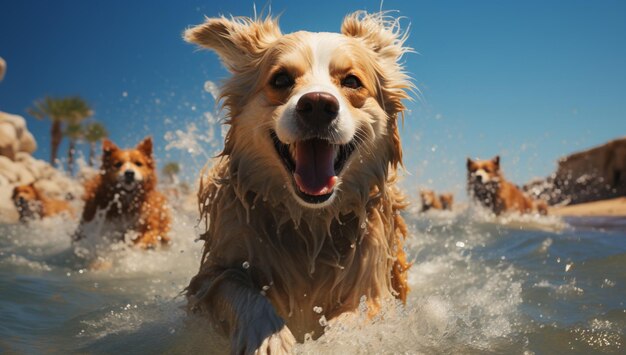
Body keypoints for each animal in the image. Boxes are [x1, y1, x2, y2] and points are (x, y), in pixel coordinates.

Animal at [183, 11, 412, 355]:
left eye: (352, 81)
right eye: (281, 80)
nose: (317, 104)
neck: (310, 221)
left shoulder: (375, 286)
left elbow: (354, 317)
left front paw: (332, 342)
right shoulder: (211, 275)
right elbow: (238, 286)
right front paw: (269, 337)